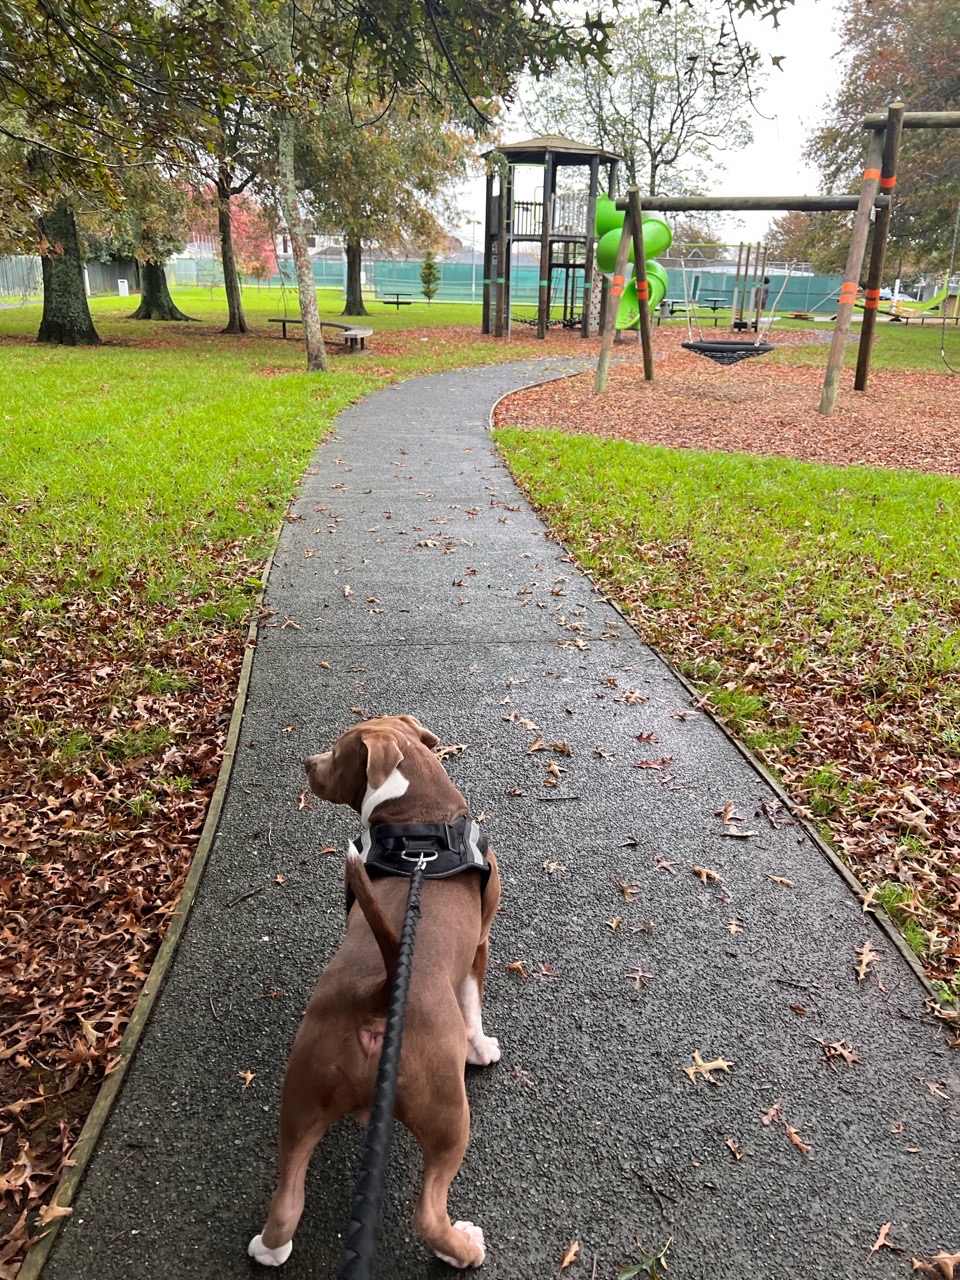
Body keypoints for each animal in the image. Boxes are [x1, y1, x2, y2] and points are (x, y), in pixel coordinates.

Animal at [249, 715, 501, 1270]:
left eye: (336, 751)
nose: (307, 762)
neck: (418, 820)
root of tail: (382, 992)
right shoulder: (481, 943)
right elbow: (473, 1005)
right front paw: (482, 1048)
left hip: (301, 1097)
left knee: (287, 1200)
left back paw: (269, 1249)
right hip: (449, 1116)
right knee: (428, 1211)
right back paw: (463, 1249)